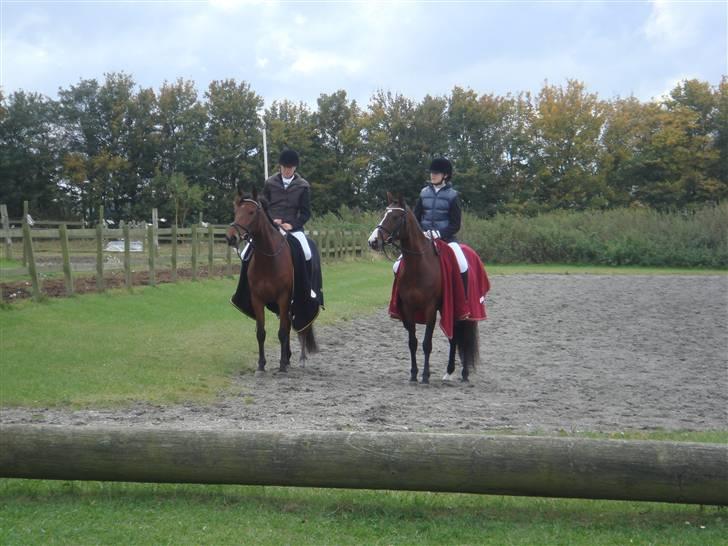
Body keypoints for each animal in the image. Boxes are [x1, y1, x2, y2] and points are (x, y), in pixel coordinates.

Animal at [226, 189, 318, 372]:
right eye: (236, 211)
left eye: (251, 212)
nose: (231, 237)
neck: (268, 260)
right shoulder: (257, 299)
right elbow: (261, 333)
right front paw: (261, 365)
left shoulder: (283, 298)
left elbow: (282, 332)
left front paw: (281, 365)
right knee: (289, 325)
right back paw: (288, 358)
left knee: (302, 326)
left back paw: (301, 359)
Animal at [366, 191, 480, 382]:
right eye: (384, 214)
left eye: (395, 217)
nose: (373, 241)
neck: (418, 265)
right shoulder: (408, 308)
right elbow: (412, 343)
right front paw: (413, 374)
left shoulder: (430, 308)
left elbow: (427, 343)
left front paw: (425, 375)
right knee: (453, 337)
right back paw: (449, 371)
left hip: (460, 310)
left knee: (461, 336)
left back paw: (463, 373)